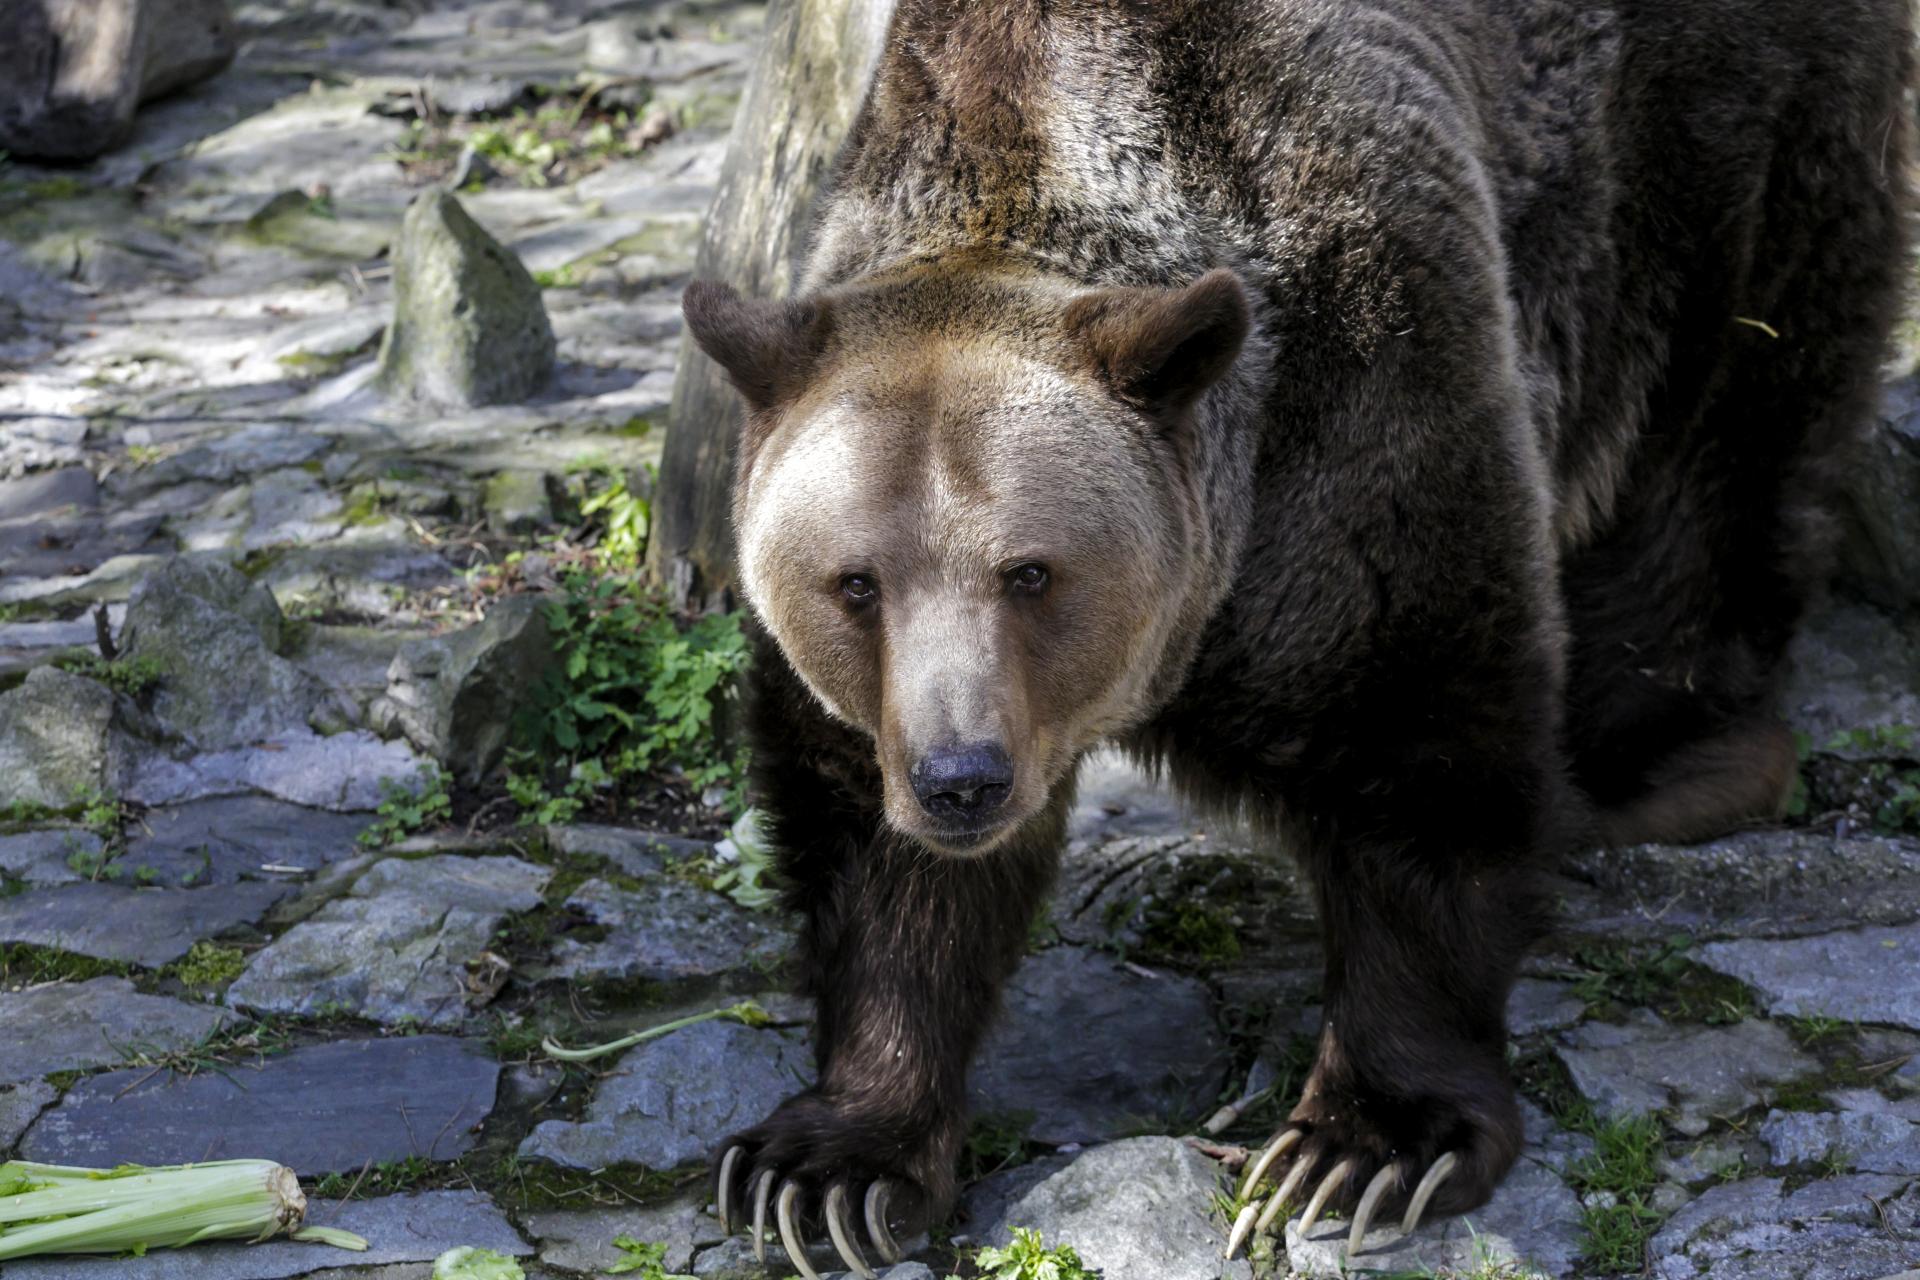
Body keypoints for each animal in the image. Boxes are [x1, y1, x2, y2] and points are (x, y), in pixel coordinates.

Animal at [683, 0, 1912, 1266]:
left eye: (1031, 571)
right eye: (855, 582)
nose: (960, 777)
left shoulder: (1355, 388)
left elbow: (1419, 744)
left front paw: (1367, 1143)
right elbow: (876, 866)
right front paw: (825, 1164)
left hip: (1712, 148)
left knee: (1722, 426)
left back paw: (1663, 753)